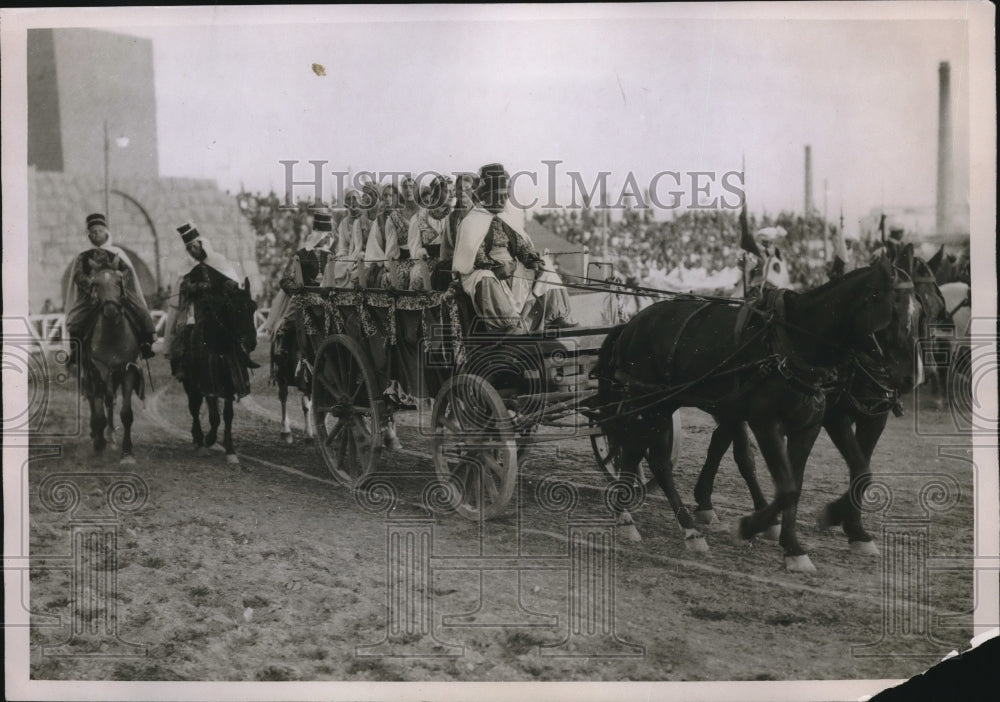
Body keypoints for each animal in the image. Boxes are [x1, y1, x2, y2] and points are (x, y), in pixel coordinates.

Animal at [81, 268, 145, 462]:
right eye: (96, 284)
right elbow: (99, 412)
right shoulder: (97, 370)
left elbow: (126, 413)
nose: (110, 310)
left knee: (109, 401)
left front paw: (127, 452)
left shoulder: (127, 370)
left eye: (119, 282)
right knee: (96, 400)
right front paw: (99, 444)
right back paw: (99, 435)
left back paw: (110, 435)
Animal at [179, 272, 260, 464]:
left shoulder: (229, 384)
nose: (251, 342)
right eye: (235, 309)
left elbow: (227, 415)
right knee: (194, 407)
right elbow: (214, 416)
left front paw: (230, 450)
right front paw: (208, 439)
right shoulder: (208, 383)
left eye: (253, 307)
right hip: (190, 384)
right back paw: (199, 438)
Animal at [592, 258, 900, 572]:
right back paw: (635, 519)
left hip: (662, 404)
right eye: (887, 307)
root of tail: (630, 323)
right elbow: (772, 476)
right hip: (647, 403)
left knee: (652, 458)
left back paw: (684, 527)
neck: (789, 344)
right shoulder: (771, 421)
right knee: (636, 452)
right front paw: (756, 526)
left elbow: (833, 475)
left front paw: (811, 538)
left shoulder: (817, 422)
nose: (895, 378)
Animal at [692, 245, 940, 560]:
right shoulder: (833, 417)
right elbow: (853, 469)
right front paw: (834, 516)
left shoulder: (873, 417)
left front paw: (853, 528)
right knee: (740, 454)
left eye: (927, 309)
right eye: (893, 313)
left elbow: (861, 469)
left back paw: (712, 503)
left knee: (722, 443)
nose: (915, 376)